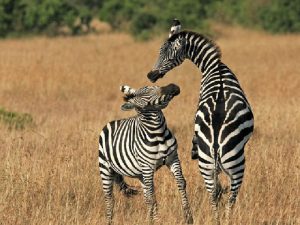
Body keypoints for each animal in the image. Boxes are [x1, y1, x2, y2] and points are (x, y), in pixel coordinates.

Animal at [97, 83, 193, 224]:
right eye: (144, 95)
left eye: (155, 86)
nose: (173, 86)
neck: (158, 134)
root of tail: (112, 122)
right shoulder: (147, 166)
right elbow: (150, 198)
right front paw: (151, 220)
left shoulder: (173, 158)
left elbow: (181, 183)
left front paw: (188, 217)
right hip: (105, 168)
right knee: (109, 198)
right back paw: (110, 220)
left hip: (141, 174)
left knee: (148, 194)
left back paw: (156, 220)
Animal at [147, 19, 253, 225]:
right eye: (159, 51)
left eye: (167, 54)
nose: (151, 75)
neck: (214, 66)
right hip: (236, 162)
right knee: (231, 196)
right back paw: (225, 219)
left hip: (206, 162)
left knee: (213, 193)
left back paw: (217, 219)